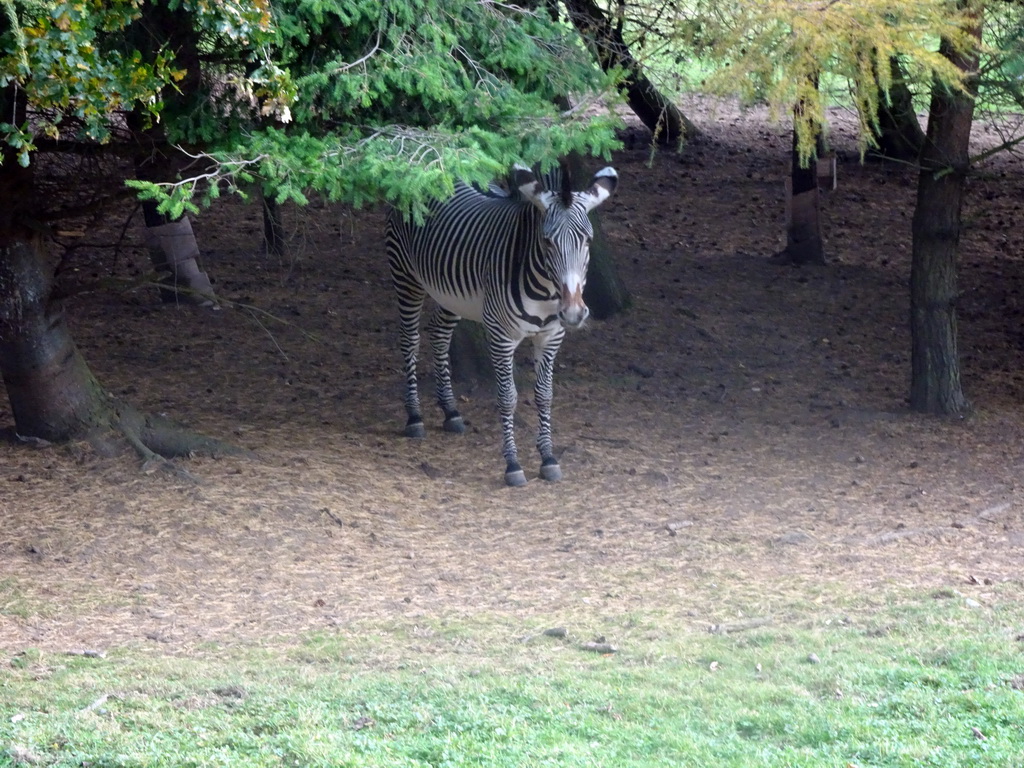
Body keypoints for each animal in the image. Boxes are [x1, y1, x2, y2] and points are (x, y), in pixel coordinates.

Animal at [387, 164, 618, 487]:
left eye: (588, 240)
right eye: (547, 241)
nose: (573, 313)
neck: (545, 290)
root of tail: (436, 168)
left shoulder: (551, 337)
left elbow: (545, 396)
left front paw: (548, 458)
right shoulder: (500, 336)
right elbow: (508, 398)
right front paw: (513, 465)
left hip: (452, 295)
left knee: (440, 333)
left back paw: (450, 411)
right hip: (405, 275)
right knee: (409, 340)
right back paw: (415, 417)